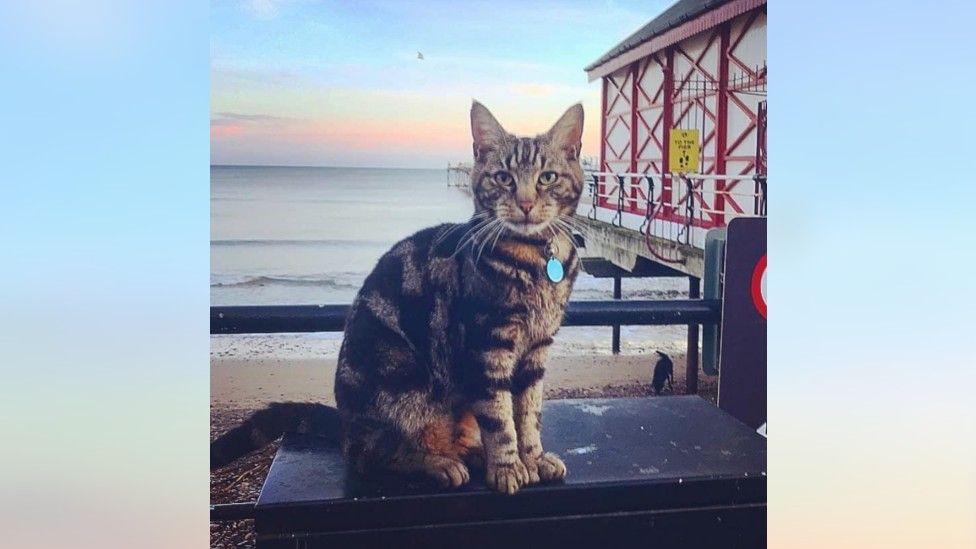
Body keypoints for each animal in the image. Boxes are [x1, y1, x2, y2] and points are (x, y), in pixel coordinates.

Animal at [210, 100, 584, 494]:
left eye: (547, 178)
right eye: (503, 178)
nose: (526, 203)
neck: (536, 259)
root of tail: (346, 426)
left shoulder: (536, 351)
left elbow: (528, 414)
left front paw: (533, 458)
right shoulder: (488, 347)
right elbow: (499, 418)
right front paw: (508, 467)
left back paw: (470, 454)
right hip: (403, 380)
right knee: (371, 457)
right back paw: (439, 464)